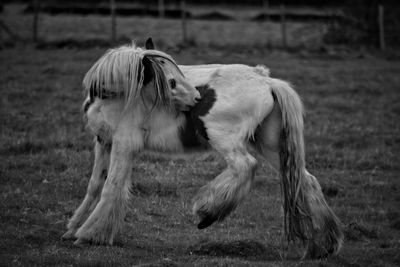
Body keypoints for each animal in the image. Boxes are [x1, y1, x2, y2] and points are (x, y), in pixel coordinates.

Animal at [61, 38, 342, 260]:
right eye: (170, 82)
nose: (195, 98)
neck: (120, 94)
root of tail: (267, 80)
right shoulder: (104, 142)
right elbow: (95, 185)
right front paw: (73, 228)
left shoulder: (124, 144)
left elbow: (112, 187)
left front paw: (89, 234)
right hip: (271, 146)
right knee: (307, 181)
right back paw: (324, 246)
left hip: (224, 138)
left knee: (245, 166)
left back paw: (208, 210)